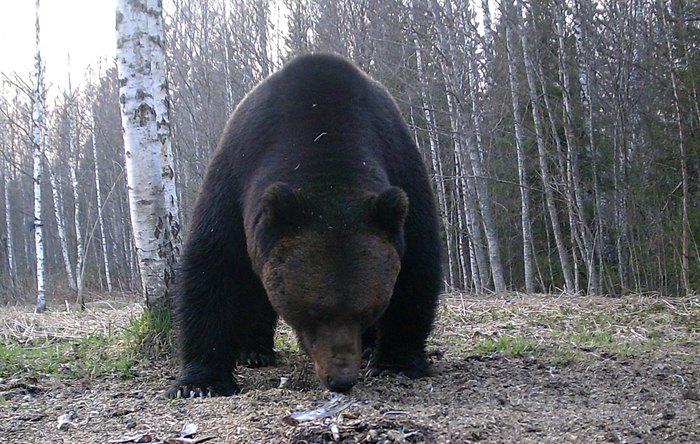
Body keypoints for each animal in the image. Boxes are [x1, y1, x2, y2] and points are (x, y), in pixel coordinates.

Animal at [166, 53, 440, 398]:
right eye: (313, 311)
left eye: (368, 310)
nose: (341, 379)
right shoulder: (236, 175)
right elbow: (213, 266)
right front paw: (199, 382)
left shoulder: (399, 166)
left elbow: (416, 268)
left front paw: (397, 362)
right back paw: (254, 351)